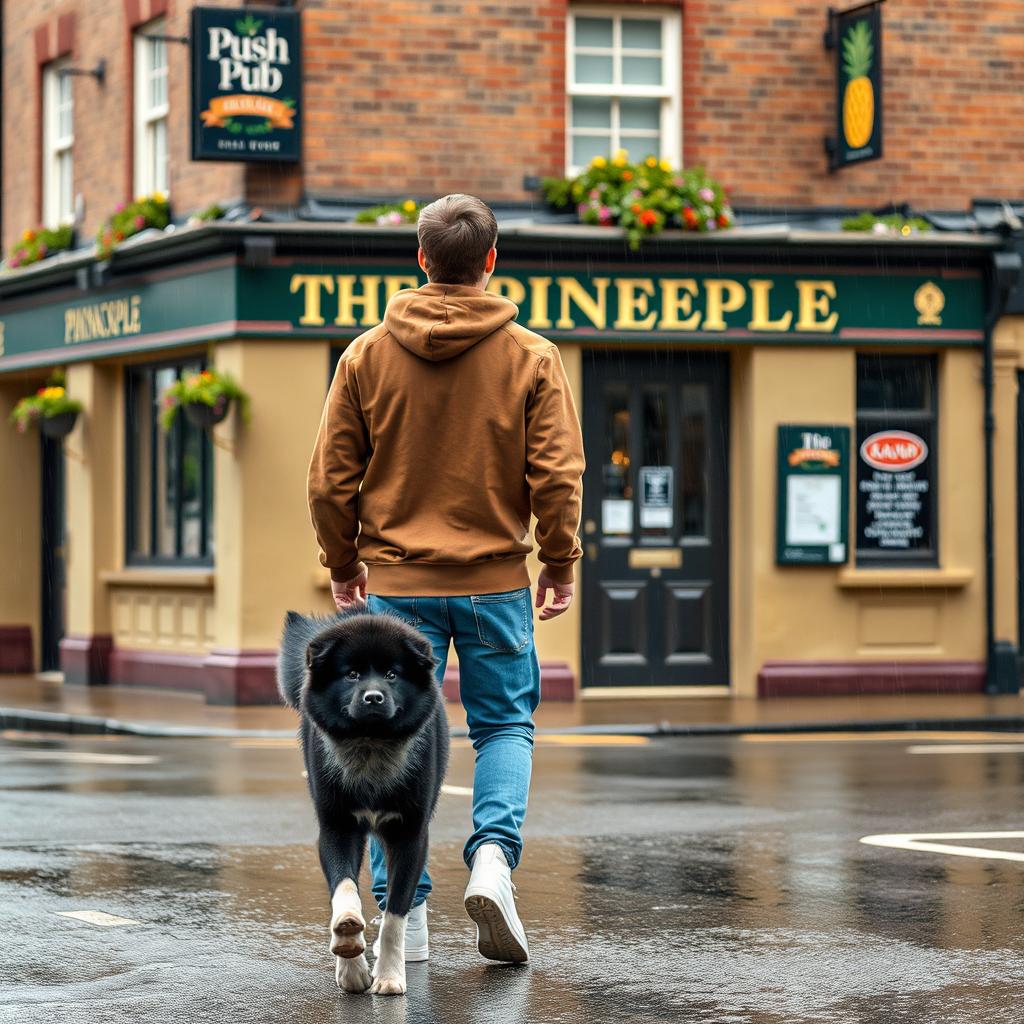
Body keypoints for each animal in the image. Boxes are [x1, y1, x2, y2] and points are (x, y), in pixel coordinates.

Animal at [276, 610, 448, 995]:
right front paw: (349, 949)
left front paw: (389, 975)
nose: (373, 698)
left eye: (392, 674)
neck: (370, 744)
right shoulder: (337, 826)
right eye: (352, 674)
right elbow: (344, 887)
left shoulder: (410, 835)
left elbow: (395, 915)